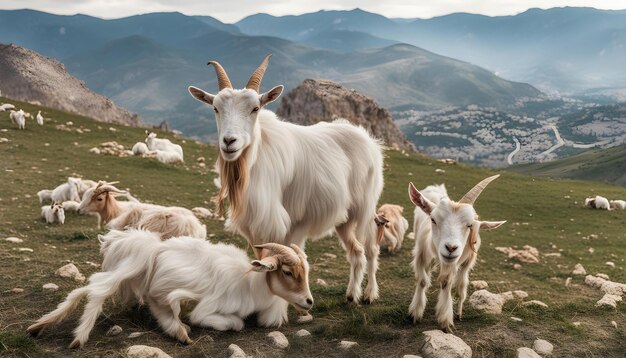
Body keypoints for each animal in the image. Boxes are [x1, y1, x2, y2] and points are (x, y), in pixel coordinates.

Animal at [27, 228, 312, 348]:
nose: (309, 302)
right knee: (98, 290)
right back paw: (78, 338)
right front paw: (187, 327)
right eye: (287, 272)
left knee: (86, 288)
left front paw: (179, 329)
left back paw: (38, 326)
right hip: (133, 266)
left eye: (306, 272)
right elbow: (233, 323)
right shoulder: (208, 309)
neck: (249, 283)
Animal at [185, 55, 382, 302]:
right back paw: (351, 294)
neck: (252, 165)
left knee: (371, 249)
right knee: (356, 250)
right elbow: (262, 262)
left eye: (255, 108)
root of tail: (368, 140)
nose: (229, 141)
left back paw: (370, 294)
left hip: (365, 207)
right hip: (344, 219)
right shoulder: (255, 227)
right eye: (215, 108)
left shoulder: (278, 225)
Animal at [408, 175, 504, 332]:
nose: (451, 248)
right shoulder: (421, 255)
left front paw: (446, 320)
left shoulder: (458, 261)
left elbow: (448, 283)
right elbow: (422, 280)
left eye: (470, 225)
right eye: (433, 219)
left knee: (461, 285)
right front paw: (415, 313)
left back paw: (458, 312)